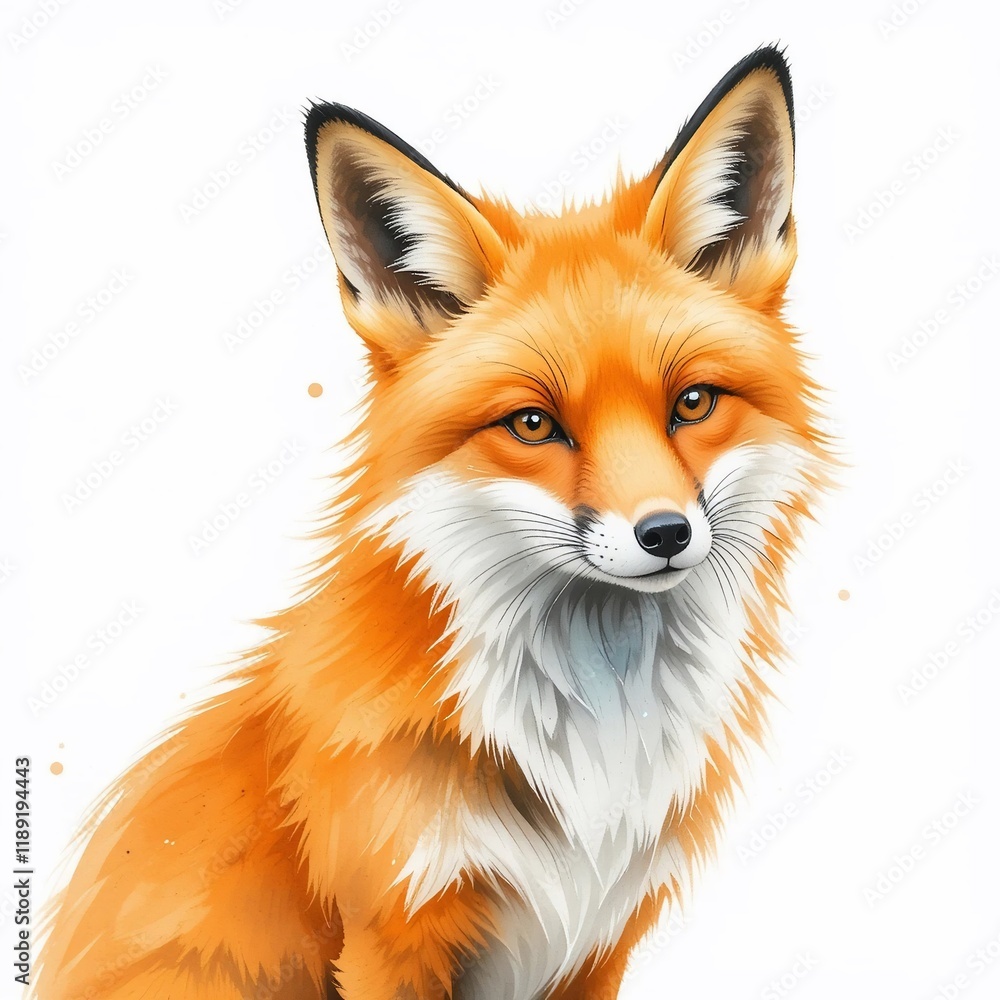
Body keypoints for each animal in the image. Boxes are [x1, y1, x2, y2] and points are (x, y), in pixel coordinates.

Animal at [36, 45, 831, 1000]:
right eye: (533, 424)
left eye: (693, 403)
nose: (666, 534)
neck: (588, 750)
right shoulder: (393, 932)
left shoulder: (602, 939)